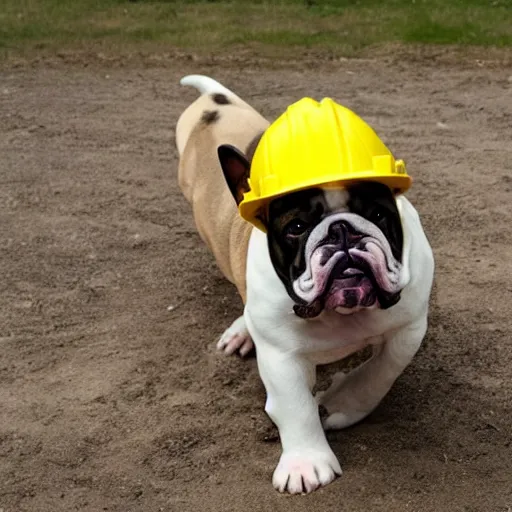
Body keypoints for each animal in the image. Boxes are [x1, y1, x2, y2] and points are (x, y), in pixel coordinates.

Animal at [174, 74, 434, 494]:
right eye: (296, 226)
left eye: (379, 214)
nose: (341, 230)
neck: (343, 314)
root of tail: (214, 101)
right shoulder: (281, 355)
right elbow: (294, 405)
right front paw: (306, 463)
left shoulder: (409, 324)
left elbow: (384, 367)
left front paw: (345, 402)